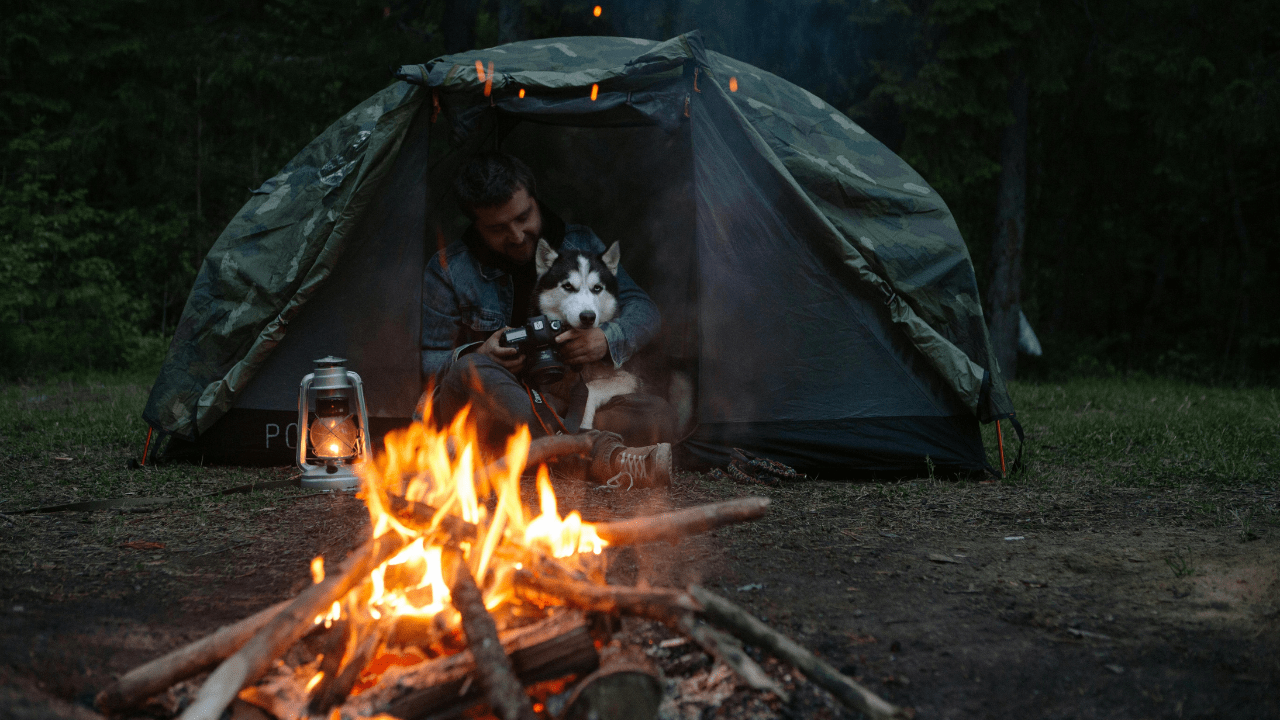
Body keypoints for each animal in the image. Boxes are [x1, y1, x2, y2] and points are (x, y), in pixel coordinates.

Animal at [532, 235, 640, 427]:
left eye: (597, 288)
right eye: (568, 286)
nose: (588, 316)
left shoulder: (631, 379)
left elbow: (591, 387)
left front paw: (583, 422)